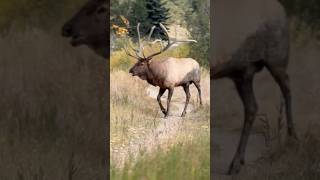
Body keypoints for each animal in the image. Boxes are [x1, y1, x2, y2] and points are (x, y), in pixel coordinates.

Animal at [211, 0, 298, 175]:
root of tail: (282, 10)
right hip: (243, 74)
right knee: (252, 107)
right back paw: (237, 162)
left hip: (277, 59)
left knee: (287, 87)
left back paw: (292, 139)